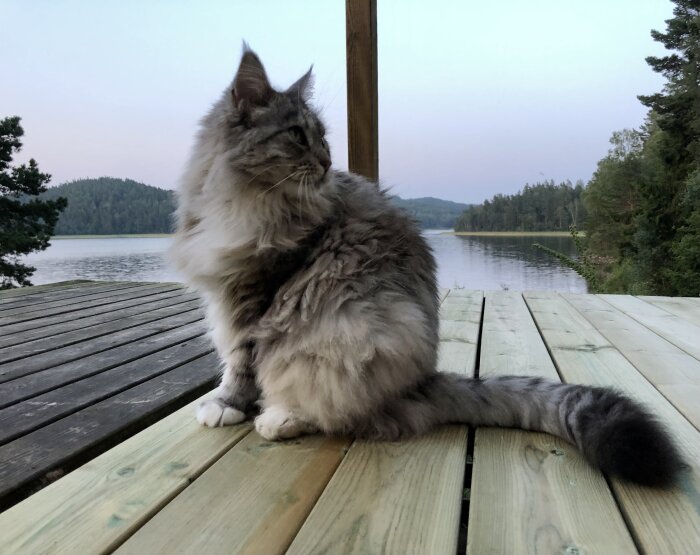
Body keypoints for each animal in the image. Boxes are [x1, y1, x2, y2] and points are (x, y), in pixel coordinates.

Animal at [171, 45, 684, 486]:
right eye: (298, 136)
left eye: (322, 138)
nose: (327, 160)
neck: (241, 201)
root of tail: (421, 381)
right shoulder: (227, 294)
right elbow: (232, 359)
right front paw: (229, 401)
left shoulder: (255, 299)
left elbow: (241, 362)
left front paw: (229, 405)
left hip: (352, 338)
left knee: (343, 413)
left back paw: (281, 417)